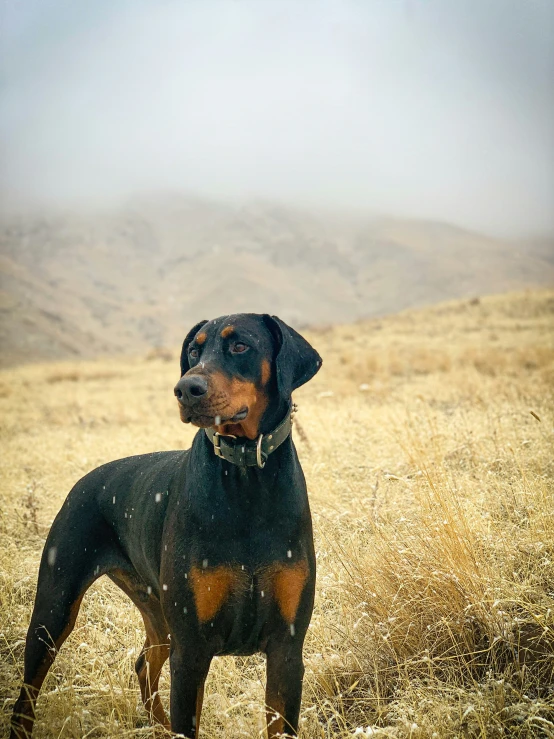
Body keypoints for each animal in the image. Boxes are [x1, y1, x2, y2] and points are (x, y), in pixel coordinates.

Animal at [10, 314, 322, 739]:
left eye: (240, 345)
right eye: (193, 349)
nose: (186, 388)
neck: (245, 479)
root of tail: (85, 480)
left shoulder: (286, 650)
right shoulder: (192, 650)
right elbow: (186, 720)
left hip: (156, 610)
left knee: (144, 663)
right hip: (55, 607)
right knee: (27, 691)